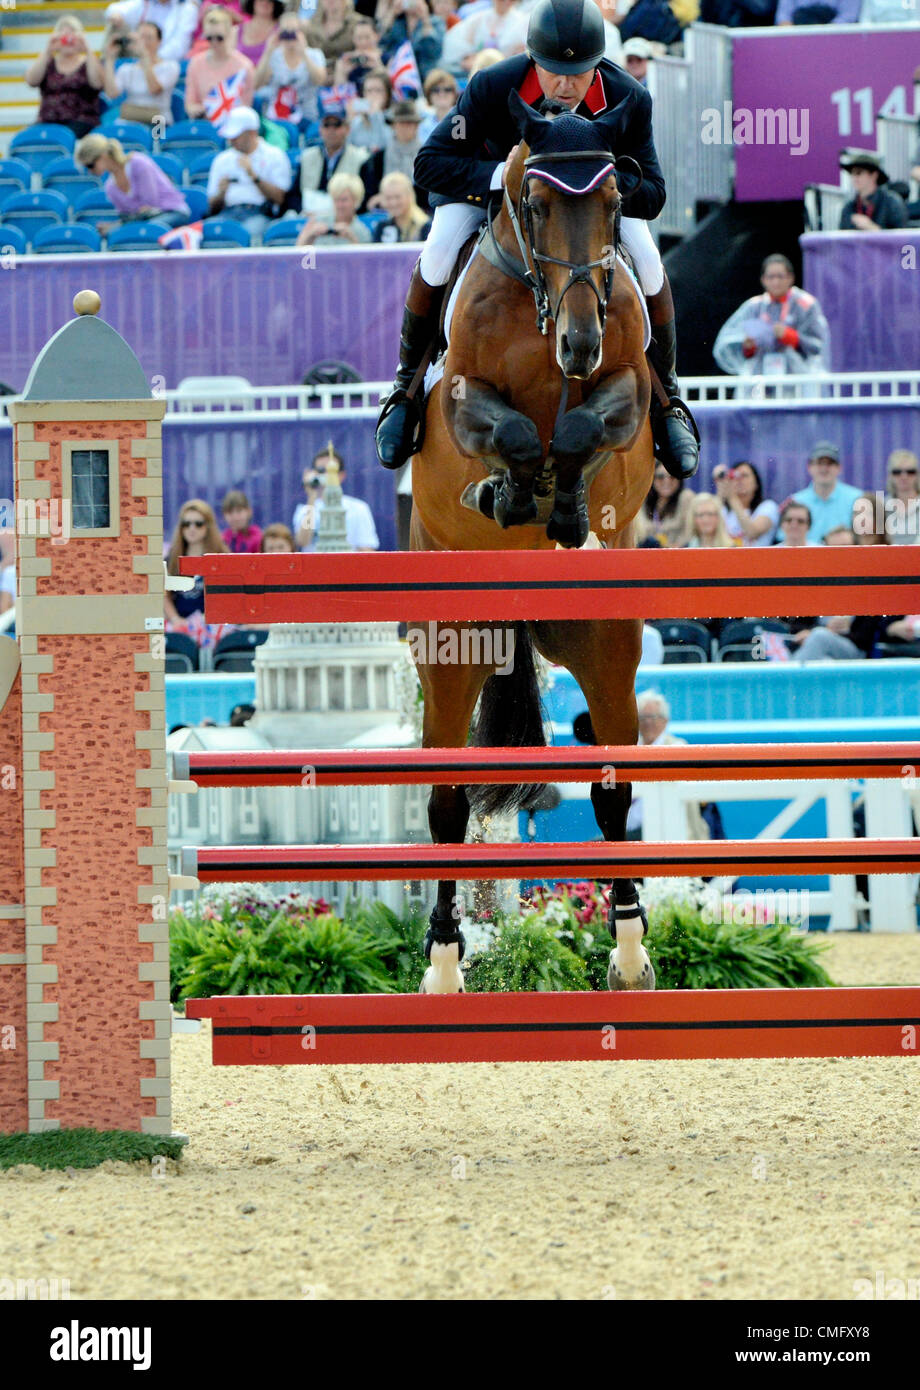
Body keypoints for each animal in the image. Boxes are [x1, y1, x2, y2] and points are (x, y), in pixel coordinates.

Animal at [408, 92, 655, 995]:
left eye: (615, 203)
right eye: (539, 205)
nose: (579, 343)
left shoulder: (630, 387)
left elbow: (589, 424)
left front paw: (567, 503)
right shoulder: (460, 397)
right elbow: (507, 428)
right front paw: (509, 490)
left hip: (605, 647)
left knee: (614, 791)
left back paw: (630, 952)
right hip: (450, 656)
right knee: (446, 804)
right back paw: (445, 966)